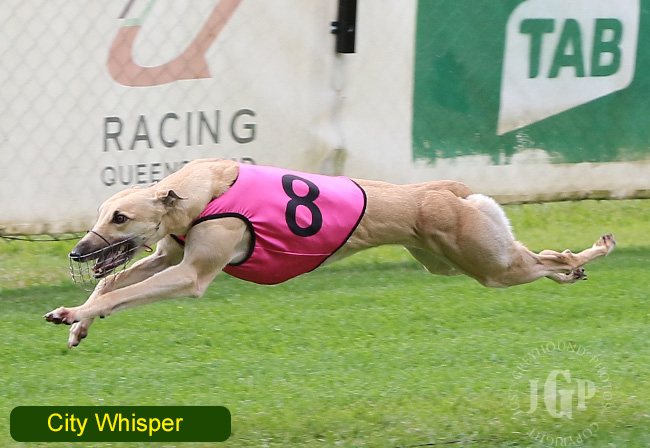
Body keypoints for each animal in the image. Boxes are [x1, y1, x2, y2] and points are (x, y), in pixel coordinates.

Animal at [44, 158, 616, 347]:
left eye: (119, 218)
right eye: (100, 215)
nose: (76, 252)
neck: (200, 192)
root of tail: (442, 191)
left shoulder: (192, 274)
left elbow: (118, 292)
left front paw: (72, 312)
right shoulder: (168, 255)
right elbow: (112, 283)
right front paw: (79, 323)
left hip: (488, 262)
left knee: (547, 259)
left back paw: (593, 252)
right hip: (452, 260)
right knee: (542, 257)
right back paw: (573, 271)